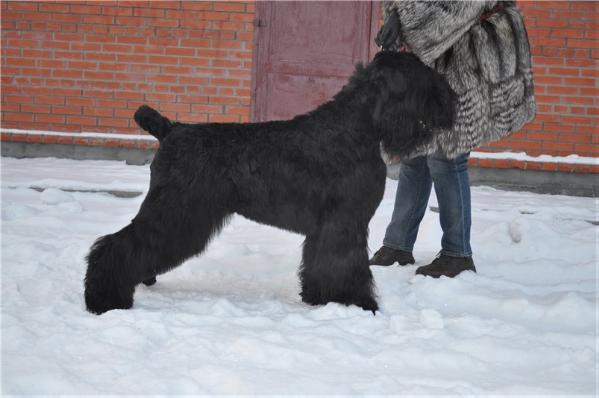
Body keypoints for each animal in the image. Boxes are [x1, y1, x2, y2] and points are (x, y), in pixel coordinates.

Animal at [84, 52, 458, 314]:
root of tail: (170, 129)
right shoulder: (345, 222)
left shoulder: (327, 227)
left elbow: (320, 264)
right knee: (117, 244)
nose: (453, 101)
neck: (357, 128)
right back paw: (104, 298)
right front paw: (358, 303)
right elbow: (347, 266)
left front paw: (318, 298)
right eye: (424, 80)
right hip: (176, 210)